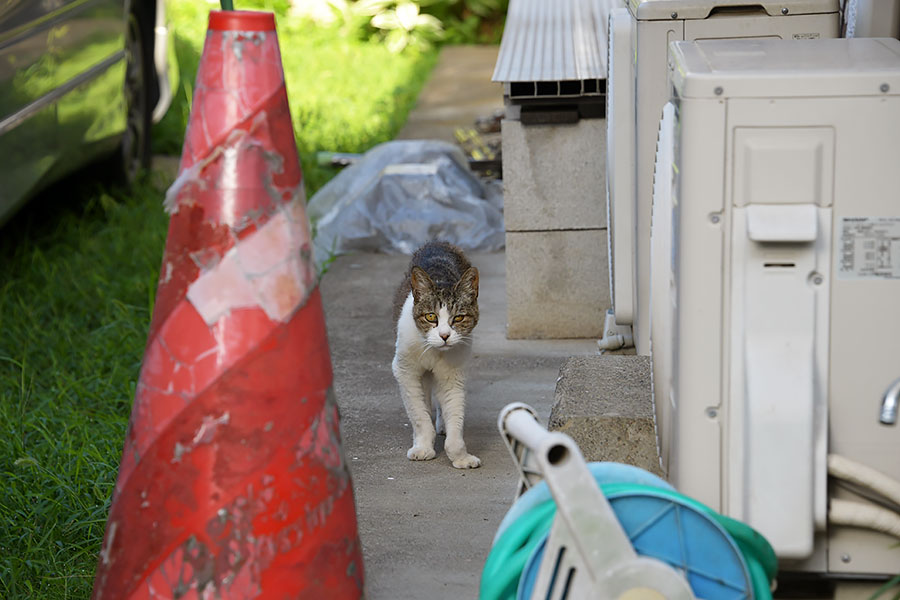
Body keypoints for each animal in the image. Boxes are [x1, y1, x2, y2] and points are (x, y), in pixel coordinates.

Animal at [390, 240, 482, 468]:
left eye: (458, 318)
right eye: (431, 317)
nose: (444, 335)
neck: (433, 350)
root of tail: (438, 242)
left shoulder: (453, 375)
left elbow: (455, 413)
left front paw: (460, 457)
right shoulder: (405, 371)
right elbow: (418, 414)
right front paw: (423, 447)